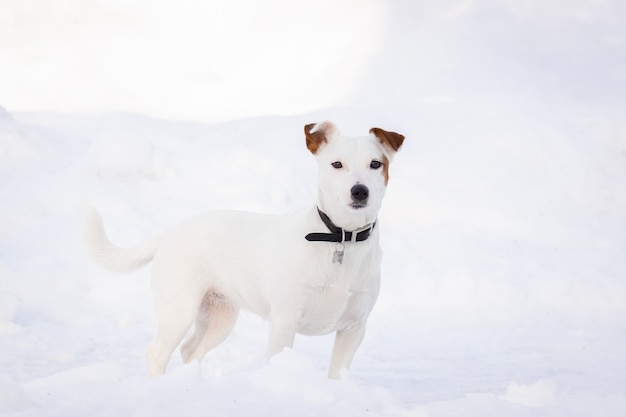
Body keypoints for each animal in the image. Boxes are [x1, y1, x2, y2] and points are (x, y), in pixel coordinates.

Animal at [83, 121, 402, 376]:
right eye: (337, 164)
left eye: (376, 164)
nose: (359, 191)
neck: (341, 237)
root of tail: (171, 232)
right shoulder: (284, 322)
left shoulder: (353, 328)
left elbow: (337, 373)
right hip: (178, 309)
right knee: (157, 352)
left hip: (219, 317)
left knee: (190, 350)